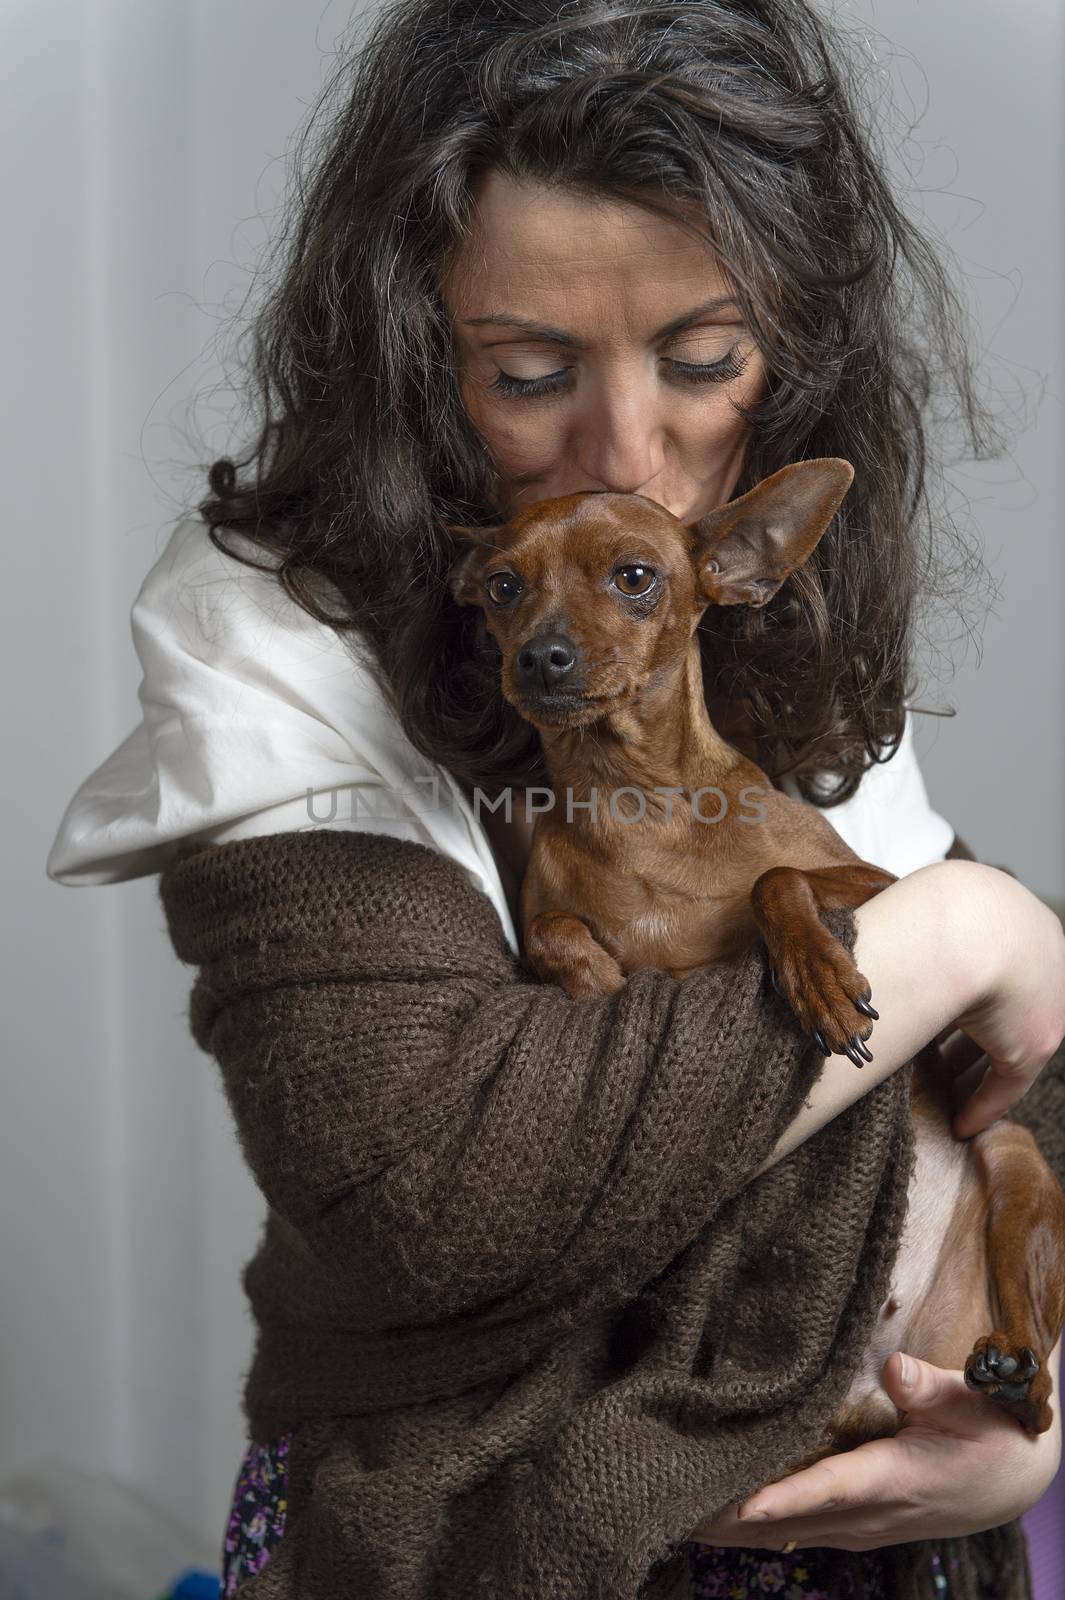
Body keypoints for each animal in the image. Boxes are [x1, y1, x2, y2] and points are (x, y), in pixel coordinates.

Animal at [444, 460, 1061, 1452]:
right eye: (502, 587)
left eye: (634, 577)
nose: (540, 656)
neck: (635, 801)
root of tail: (872, 1385)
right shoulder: (549, 917)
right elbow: (553, 932)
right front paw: (598, 975)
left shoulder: (880, 878)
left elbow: (776, 875)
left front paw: (817, 980)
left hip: (1009, 1155)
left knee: (1035, 1402)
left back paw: (1010, 1369)